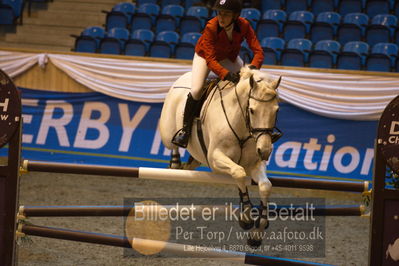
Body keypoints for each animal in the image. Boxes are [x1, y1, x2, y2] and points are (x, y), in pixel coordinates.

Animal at [159, 66, 282, 247]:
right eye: (252, 110)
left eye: (276, 110)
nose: (265, 151)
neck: (242, 125)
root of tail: (183, 77)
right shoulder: (216, 159)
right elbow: (239, 172)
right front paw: (246, 216)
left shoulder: (254, 163)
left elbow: (265, 186)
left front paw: (257, 233)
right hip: (167, 132)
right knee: (172, 144)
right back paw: (175, 159)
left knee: (191, 163)